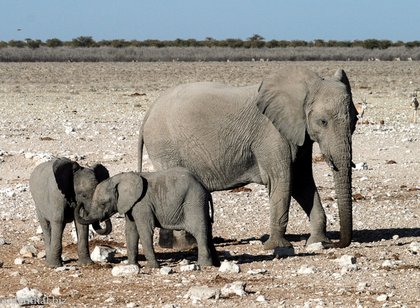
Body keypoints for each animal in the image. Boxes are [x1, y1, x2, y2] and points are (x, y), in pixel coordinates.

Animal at [76, 167, 220, 268]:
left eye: (103, 203)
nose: (80, 204)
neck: (120, 178)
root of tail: (204, 188)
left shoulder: (142, 204)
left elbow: (144, 230)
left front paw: (152, 267)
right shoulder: (131, 205)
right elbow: (131, 231)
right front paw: (133, 266)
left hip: (194, 202)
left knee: (199, 231)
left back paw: (203, 265)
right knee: (207, 231)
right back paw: (216, 264)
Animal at [138, 65, 358, 250]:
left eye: (355, 121)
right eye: (323, 122)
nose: (337, 244)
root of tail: (149, 111)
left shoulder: (299, 135)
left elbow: (301, 182)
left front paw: (318, 242)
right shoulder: (271, 135)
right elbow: (282, 180)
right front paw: (276, 246)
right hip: (165, 146)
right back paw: (185, 246)